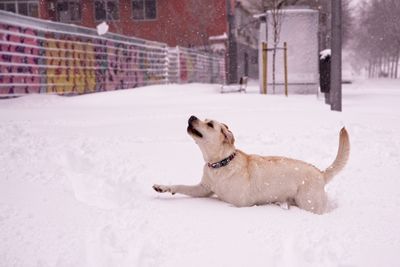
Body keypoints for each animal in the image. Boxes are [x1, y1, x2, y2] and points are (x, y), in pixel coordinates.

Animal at [153, 116, 350, 215]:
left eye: (209, 124)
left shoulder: (239, 203)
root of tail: (321, 173)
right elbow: (181, 186)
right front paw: (163, 187)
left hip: (309, 204)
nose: (192, 116)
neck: (220, 164)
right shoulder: (203, 188)